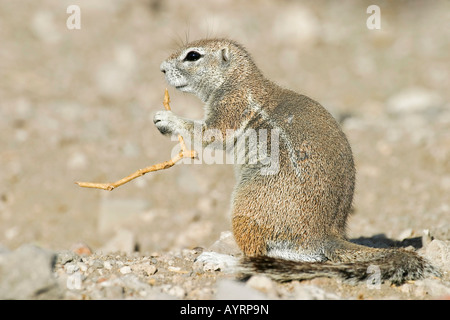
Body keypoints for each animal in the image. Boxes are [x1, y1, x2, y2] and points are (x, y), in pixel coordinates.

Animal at [155, 38, 440, 284]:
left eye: (193, 56)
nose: (162, 68)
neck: (236, 79)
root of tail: (326, 235)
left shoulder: (230, 109)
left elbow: (208, 133)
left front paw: (168, 119)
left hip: (247, 206)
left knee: (259, 254)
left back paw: (221, 260)